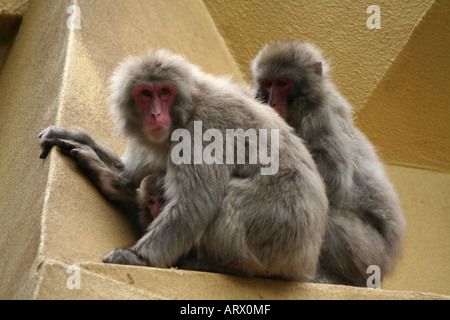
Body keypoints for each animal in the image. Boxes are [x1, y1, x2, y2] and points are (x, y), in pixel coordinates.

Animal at [38, 48, 328, 282]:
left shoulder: (200, 134)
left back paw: (227, 266)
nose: (156, 114)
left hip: (277, 231)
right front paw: (86, 150)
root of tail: (306, 262)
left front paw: (139, 259)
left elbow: (195, 203)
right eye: (146, 94)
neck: (188, 110)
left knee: (230, 198)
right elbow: (129, 176)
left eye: (165, 92)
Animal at [251, 40, 406, 284]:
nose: (273, 101)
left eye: (282, 83)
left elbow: (334, 176)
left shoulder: (323, 114)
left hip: (370, 252)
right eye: (267, 84)